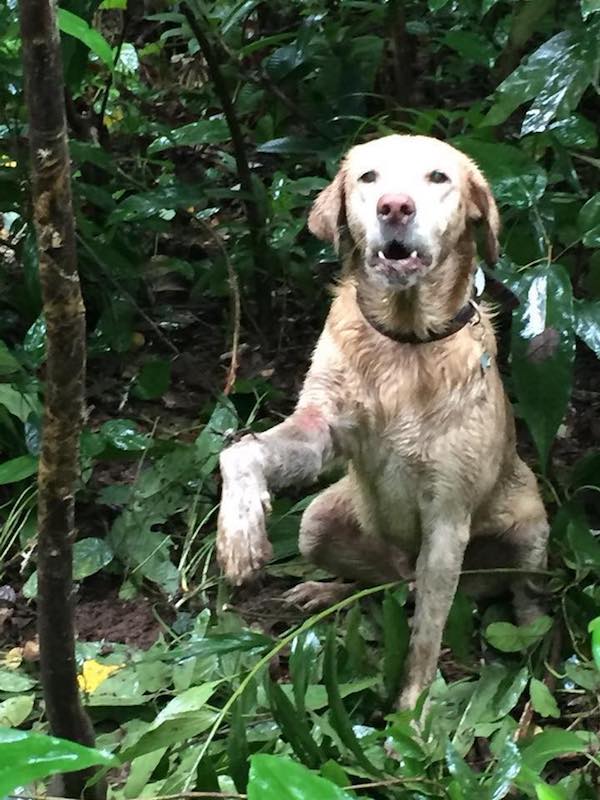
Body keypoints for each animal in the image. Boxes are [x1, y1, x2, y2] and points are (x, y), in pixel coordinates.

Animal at [218, 134, 552, 708]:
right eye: (368, 177)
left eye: (438, 177)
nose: (394, 207)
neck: (405, 341)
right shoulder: (321, 428)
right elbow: (242, 449)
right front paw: (239, 532)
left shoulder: (446, 521)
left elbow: (426, 639)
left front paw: (411, 712)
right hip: (317, 522)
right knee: (379, 584)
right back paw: (326, 589)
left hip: (529, 529)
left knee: (517, 591)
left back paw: (534, 643)